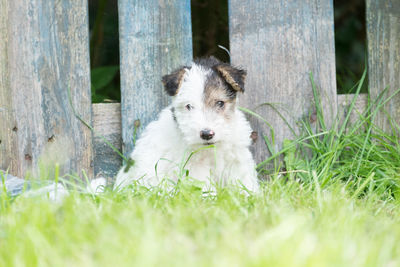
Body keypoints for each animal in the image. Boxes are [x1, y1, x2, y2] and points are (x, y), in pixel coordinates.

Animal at [115, 57, 260, 194]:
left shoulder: (237, 160)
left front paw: (250, 195)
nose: (206, 134)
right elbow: (204, 186)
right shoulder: (195, 167)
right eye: (189, 106)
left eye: (220, 103)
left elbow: (244, 182)